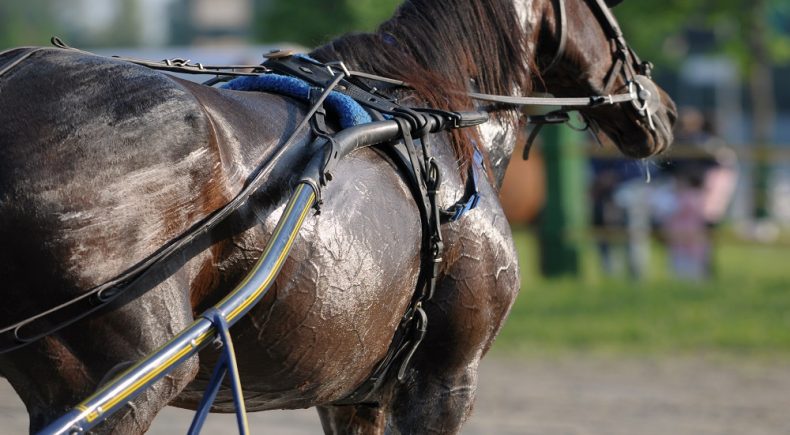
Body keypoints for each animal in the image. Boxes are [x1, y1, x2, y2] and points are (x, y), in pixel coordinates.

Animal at [0, 0, 676, 432]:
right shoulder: (444, 382)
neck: (427, 113)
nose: (662, 107)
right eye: (606, 9)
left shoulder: (356, 394)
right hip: (126, 379)